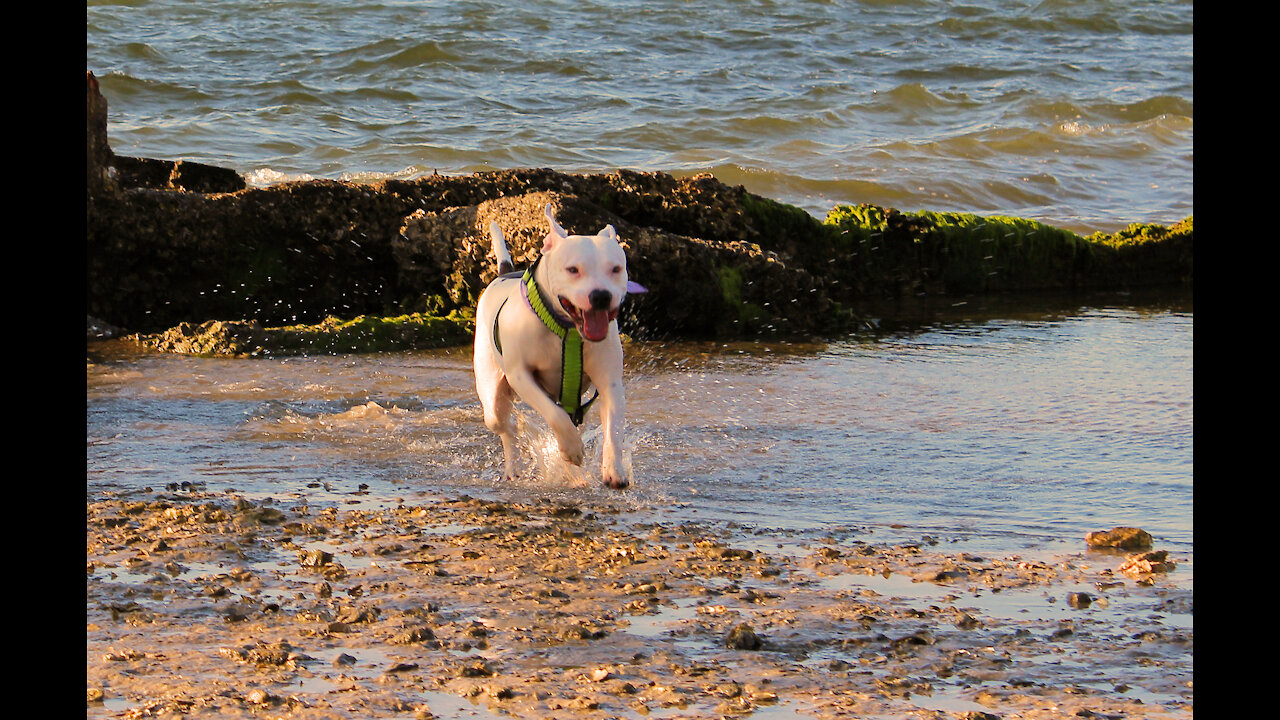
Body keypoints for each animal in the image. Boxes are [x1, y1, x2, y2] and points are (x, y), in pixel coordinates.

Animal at [473, 204, 645, 489]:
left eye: (616, 269)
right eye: (573, 269)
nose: (601, 296)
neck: (566, 330)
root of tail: (504, 274)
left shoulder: (610, 381)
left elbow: (613, 427)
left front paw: (614, 469)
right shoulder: (521, 375)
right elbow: (554, 415)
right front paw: (571, 448)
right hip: (491, 391)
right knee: (505, 427)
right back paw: (514, 466)